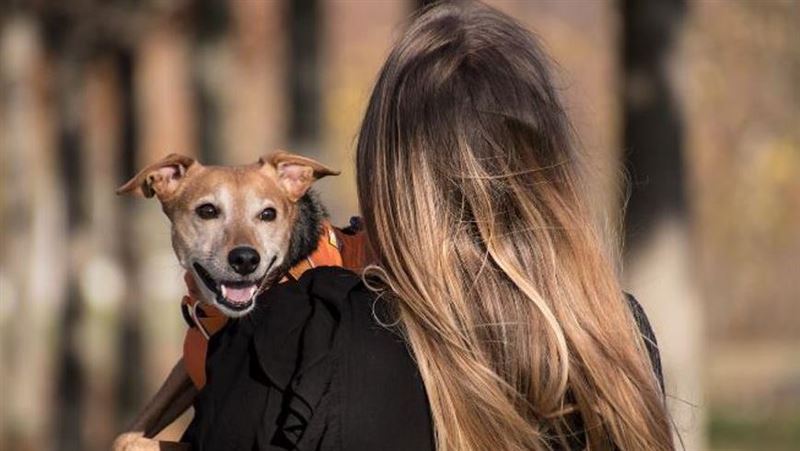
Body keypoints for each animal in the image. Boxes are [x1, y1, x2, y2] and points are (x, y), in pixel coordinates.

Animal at [111, 152, 338, 451]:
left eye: (268, 214)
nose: (245, 259)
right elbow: (126, 436)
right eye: (207, 211)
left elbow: (136, 443)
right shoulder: (186, 369)